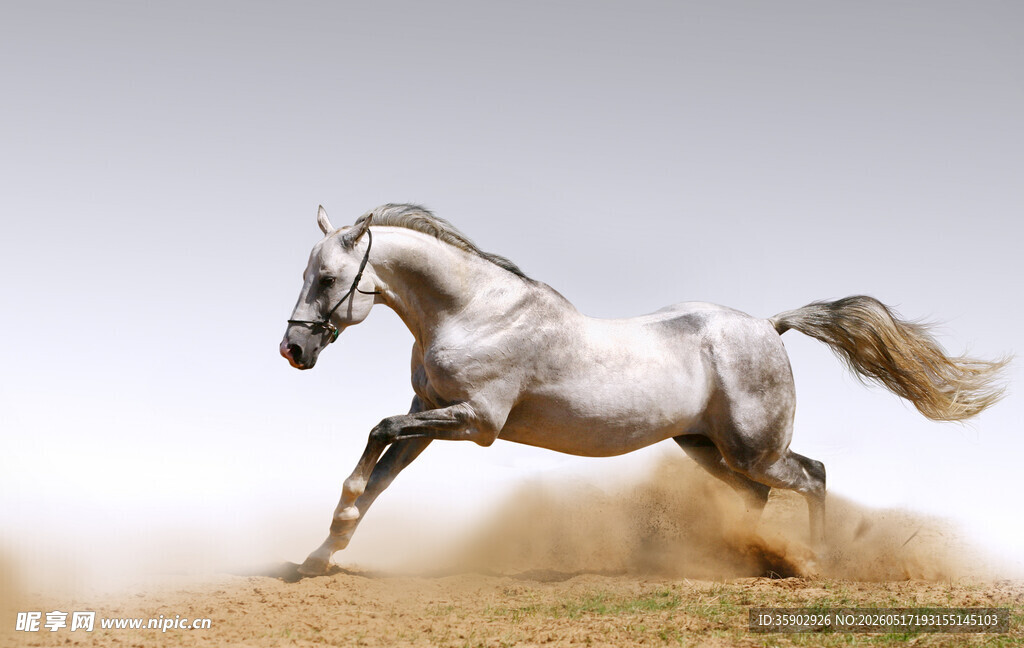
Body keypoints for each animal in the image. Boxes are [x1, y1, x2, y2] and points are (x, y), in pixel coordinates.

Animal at [280, 203, 1007, 576]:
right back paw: (742, 559)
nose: (293, 350)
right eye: (308, 273)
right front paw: (319, 555)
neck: (474, 311)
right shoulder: (430, 411)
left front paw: (328, 536)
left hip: (754, 449)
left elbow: (375, 436)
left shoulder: (475, 422)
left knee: (814, 475)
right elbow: (380, 475)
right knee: (760, 496)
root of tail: (770, 326)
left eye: (328, 278)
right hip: (705, 447)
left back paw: (815, 563)